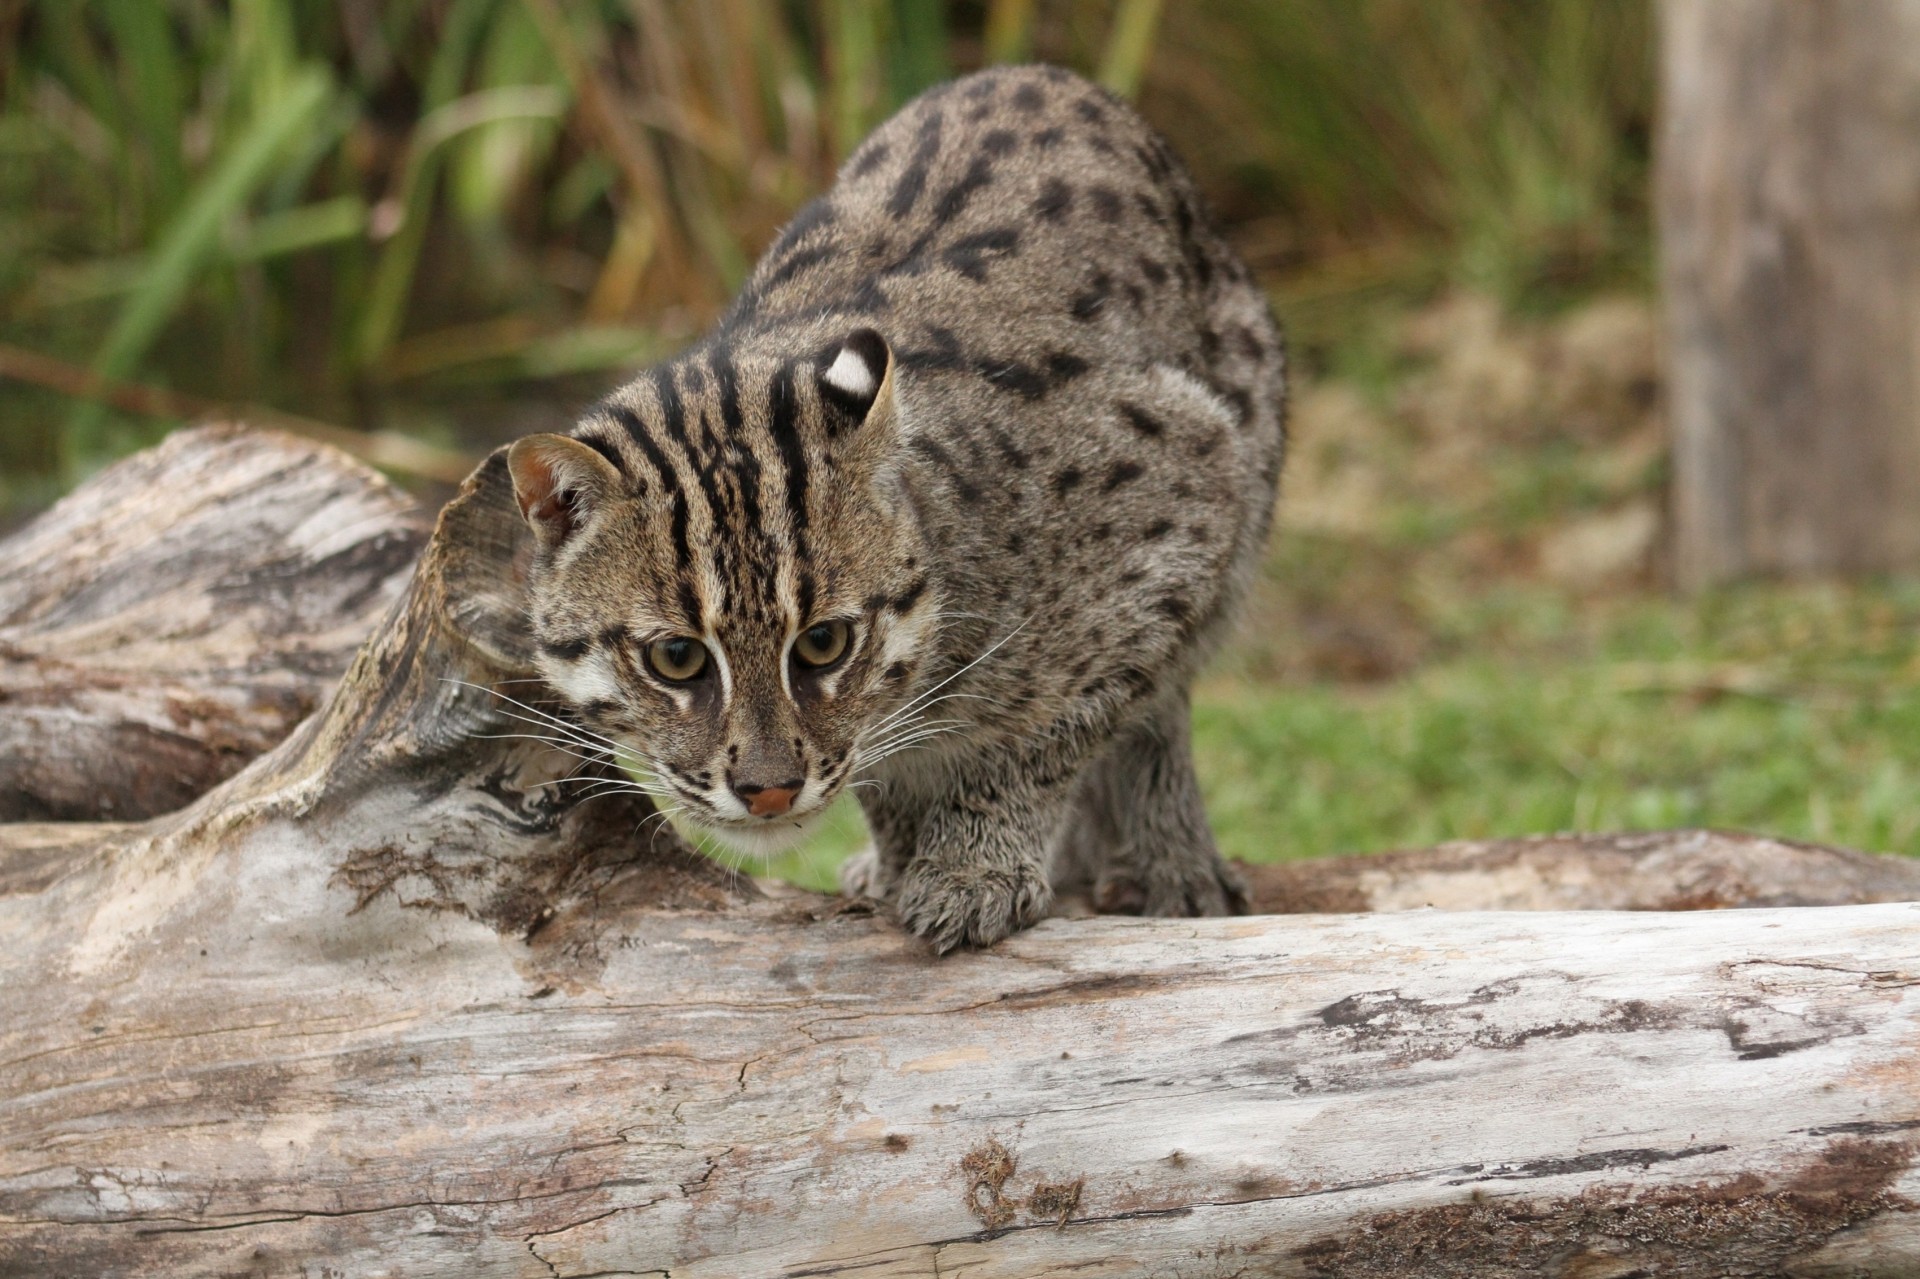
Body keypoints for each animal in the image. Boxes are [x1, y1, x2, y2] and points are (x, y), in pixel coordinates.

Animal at [506, 64, 1290, 952]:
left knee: (1163, 702)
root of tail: (1040, 73)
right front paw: (903, 854)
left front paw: (975, 867)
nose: (770, 790)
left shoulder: (1187, 488)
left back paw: (1172, 864)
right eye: (675, 657)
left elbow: (1047, 730)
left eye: (824, 643)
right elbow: (882, 763)